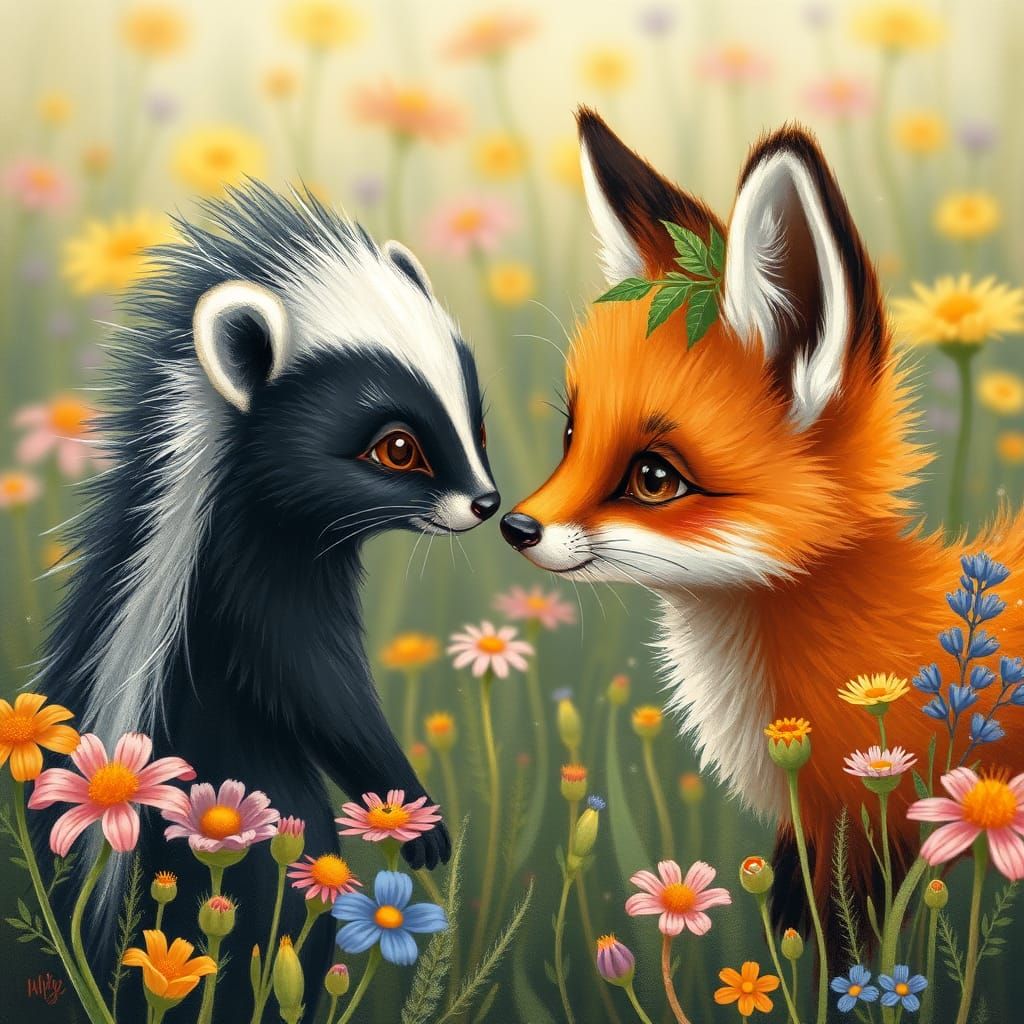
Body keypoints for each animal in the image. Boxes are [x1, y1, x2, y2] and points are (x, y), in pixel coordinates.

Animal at [500, 109, 1024, 942]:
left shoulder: (869, 821)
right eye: (571, 436)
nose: (513, 526)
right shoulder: (811, 834)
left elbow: (854, 962)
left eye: (654, 478)